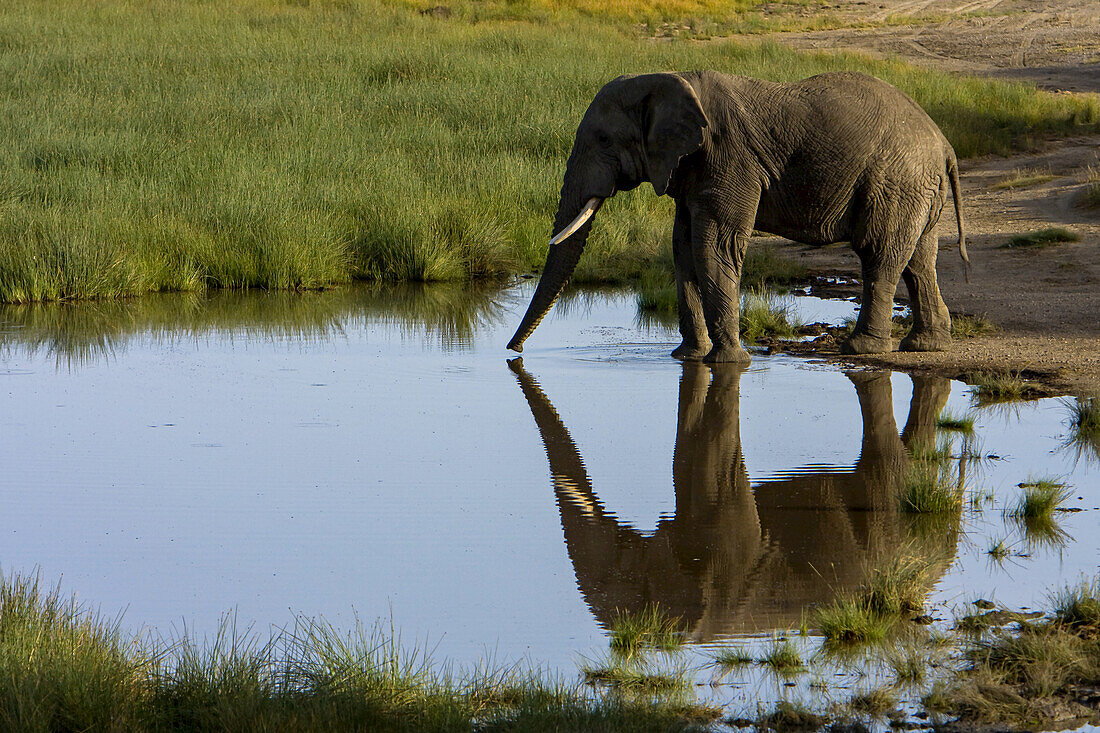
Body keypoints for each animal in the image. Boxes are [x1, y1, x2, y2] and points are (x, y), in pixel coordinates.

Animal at [506, 69, 963, 360]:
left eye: (603, 139)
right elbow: (683, 248)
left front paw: (727, 362)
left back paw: (861, 349)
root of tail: (944, 144)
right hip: (914, 187)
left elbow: (714, 246)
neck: (669, 79)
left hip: (894, 180)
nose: (513, 352)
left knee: (879, 255)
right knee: (919, 259)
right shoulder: (690, 168)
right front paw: (688, 357)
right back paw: (927, 346)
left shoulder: (728, 159)